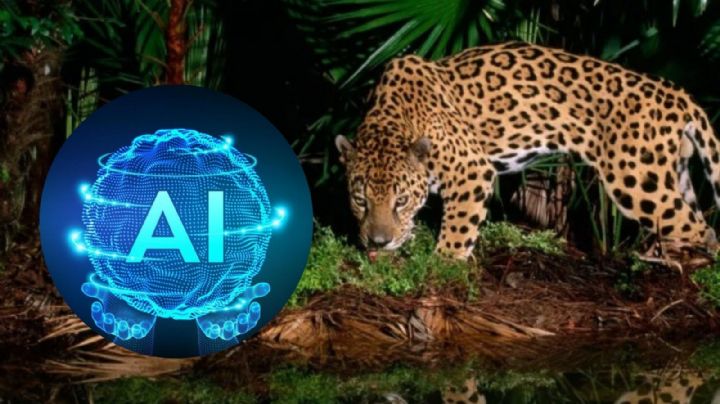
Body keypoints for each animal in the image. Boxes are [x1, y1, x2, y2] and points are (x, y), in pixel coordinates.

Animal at [336, 42, 720, 260]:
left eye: (400, 200)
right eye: (360, 200)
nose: (378, 242)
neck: (395, 118)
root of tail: (675, 92)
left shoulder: (471, 170)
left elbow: (458, 228)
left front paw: (443, 265)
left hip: (636, 181)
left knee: (698, 228)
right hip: (670, 170)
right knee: (700, 222)